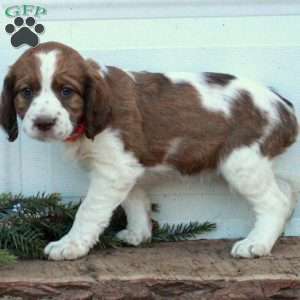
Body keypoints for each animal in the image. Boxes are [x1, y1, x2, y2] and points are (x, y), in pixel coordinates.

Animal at [0, 42, 298, 260]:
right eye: (26, 91)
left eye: (66, 91)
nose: (44, 123)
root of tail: (283, 105)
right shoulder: (128, 167)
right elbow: (134, 200)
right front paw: (138, 234)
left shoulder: (114, 170)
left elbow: (88, 210)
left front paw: (70, 245)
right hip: (259, 164)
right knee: (286, 196)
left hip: (241, 162)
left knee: (275, 203)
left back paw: (256, 243)